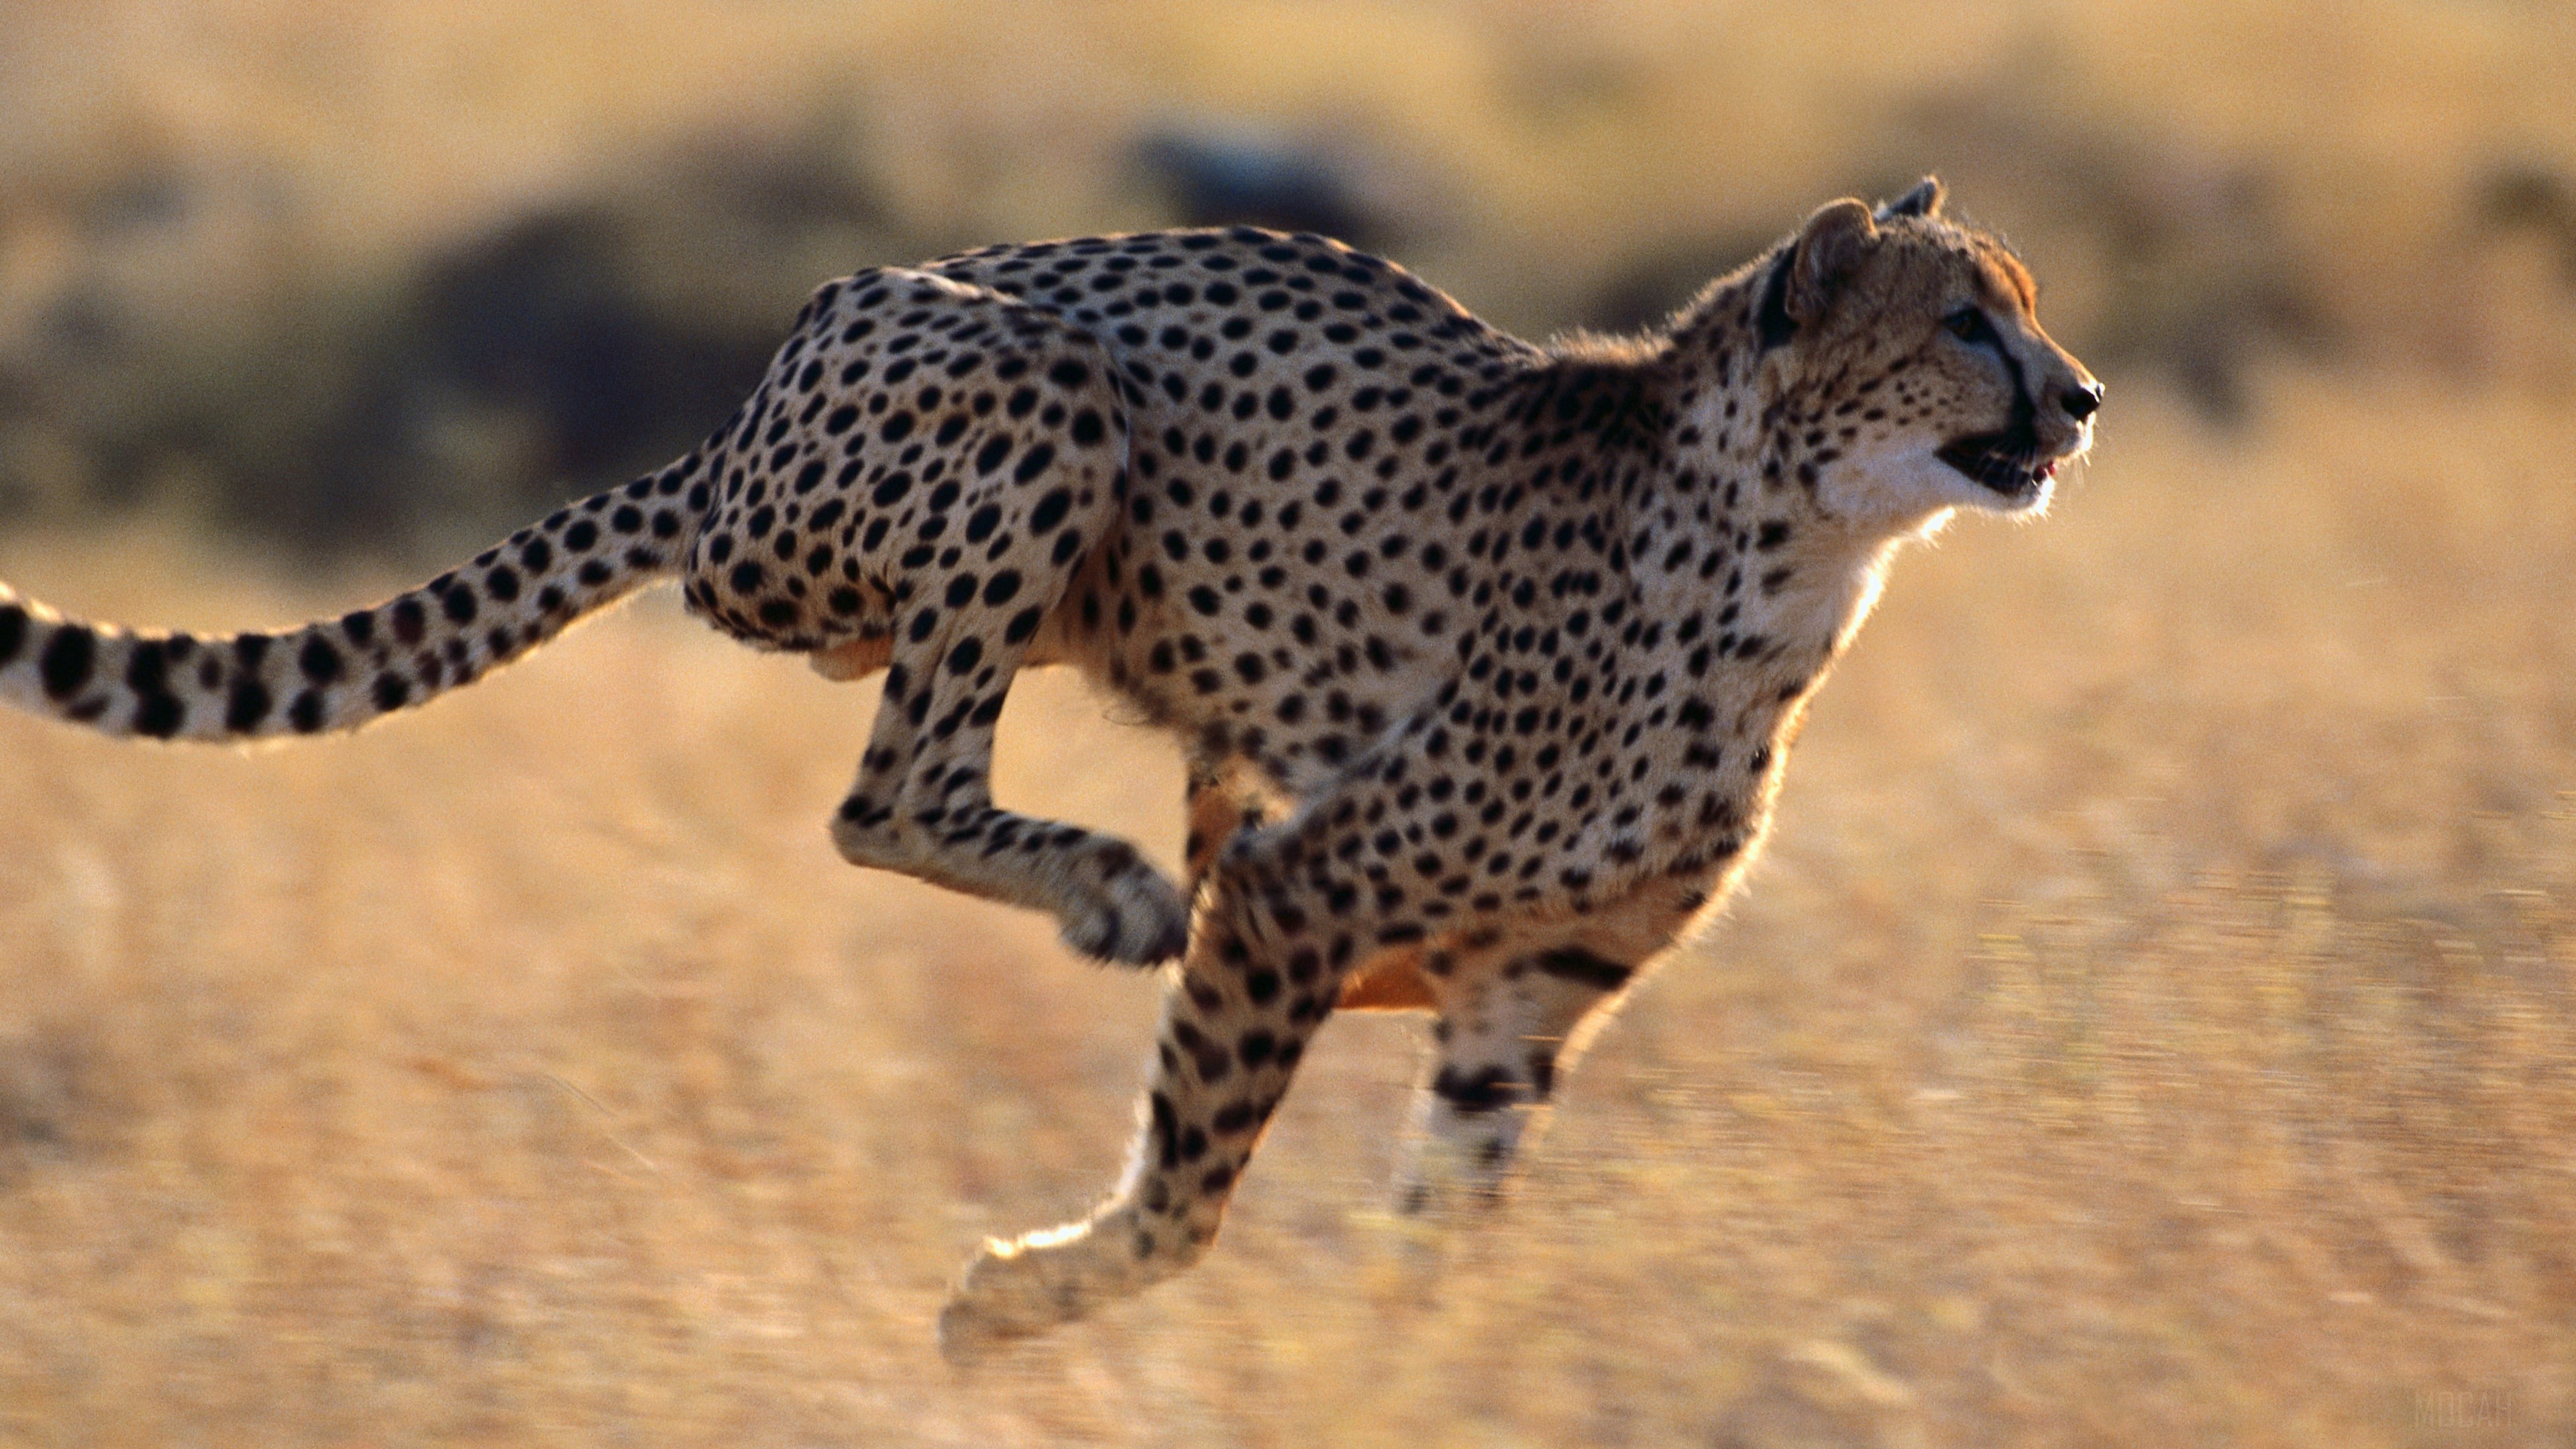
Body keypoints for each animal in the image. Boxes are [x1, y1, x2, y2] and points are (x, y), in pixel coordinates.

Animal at [0, 176, 2099, 1359]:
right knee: (885, 791)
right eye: (1963, 317)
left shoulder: (1528, 991)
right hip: (1029, 396)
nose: (2077, 396)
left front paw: (1408, 1367)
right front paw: (1015, 1302)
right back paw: (1101, 886)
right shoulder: (1304, 891)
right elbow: (1188, 1193)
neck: (1789, 556)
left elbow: (1439, 1226)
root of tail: (740, 416)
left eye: (2024, 300)